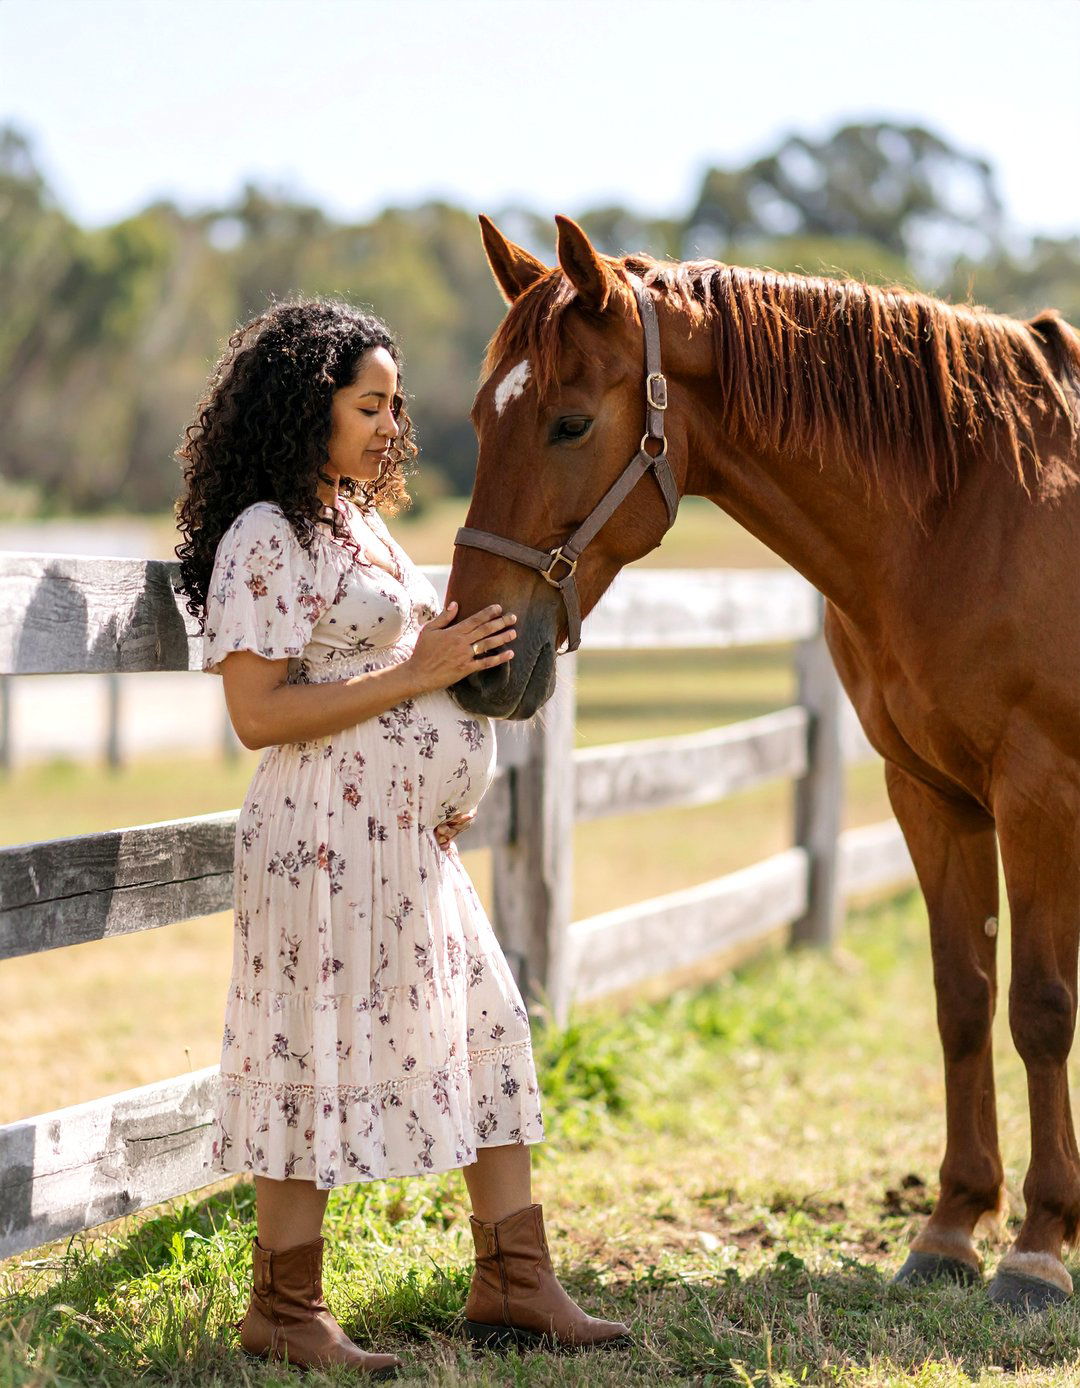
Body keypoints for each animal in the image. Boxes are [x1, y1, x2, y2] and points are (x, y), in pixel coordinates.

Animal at [444, 213, 1080, 1312]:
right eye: (484, 418)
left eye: (569, 423)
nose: (481, 662)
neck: (974, 509)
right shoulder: (932, 794)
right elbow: (962, 998)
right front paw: (952, 1226)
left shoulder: (1038, 792)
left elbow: (1038, 1009)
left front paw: (1039, 1246)